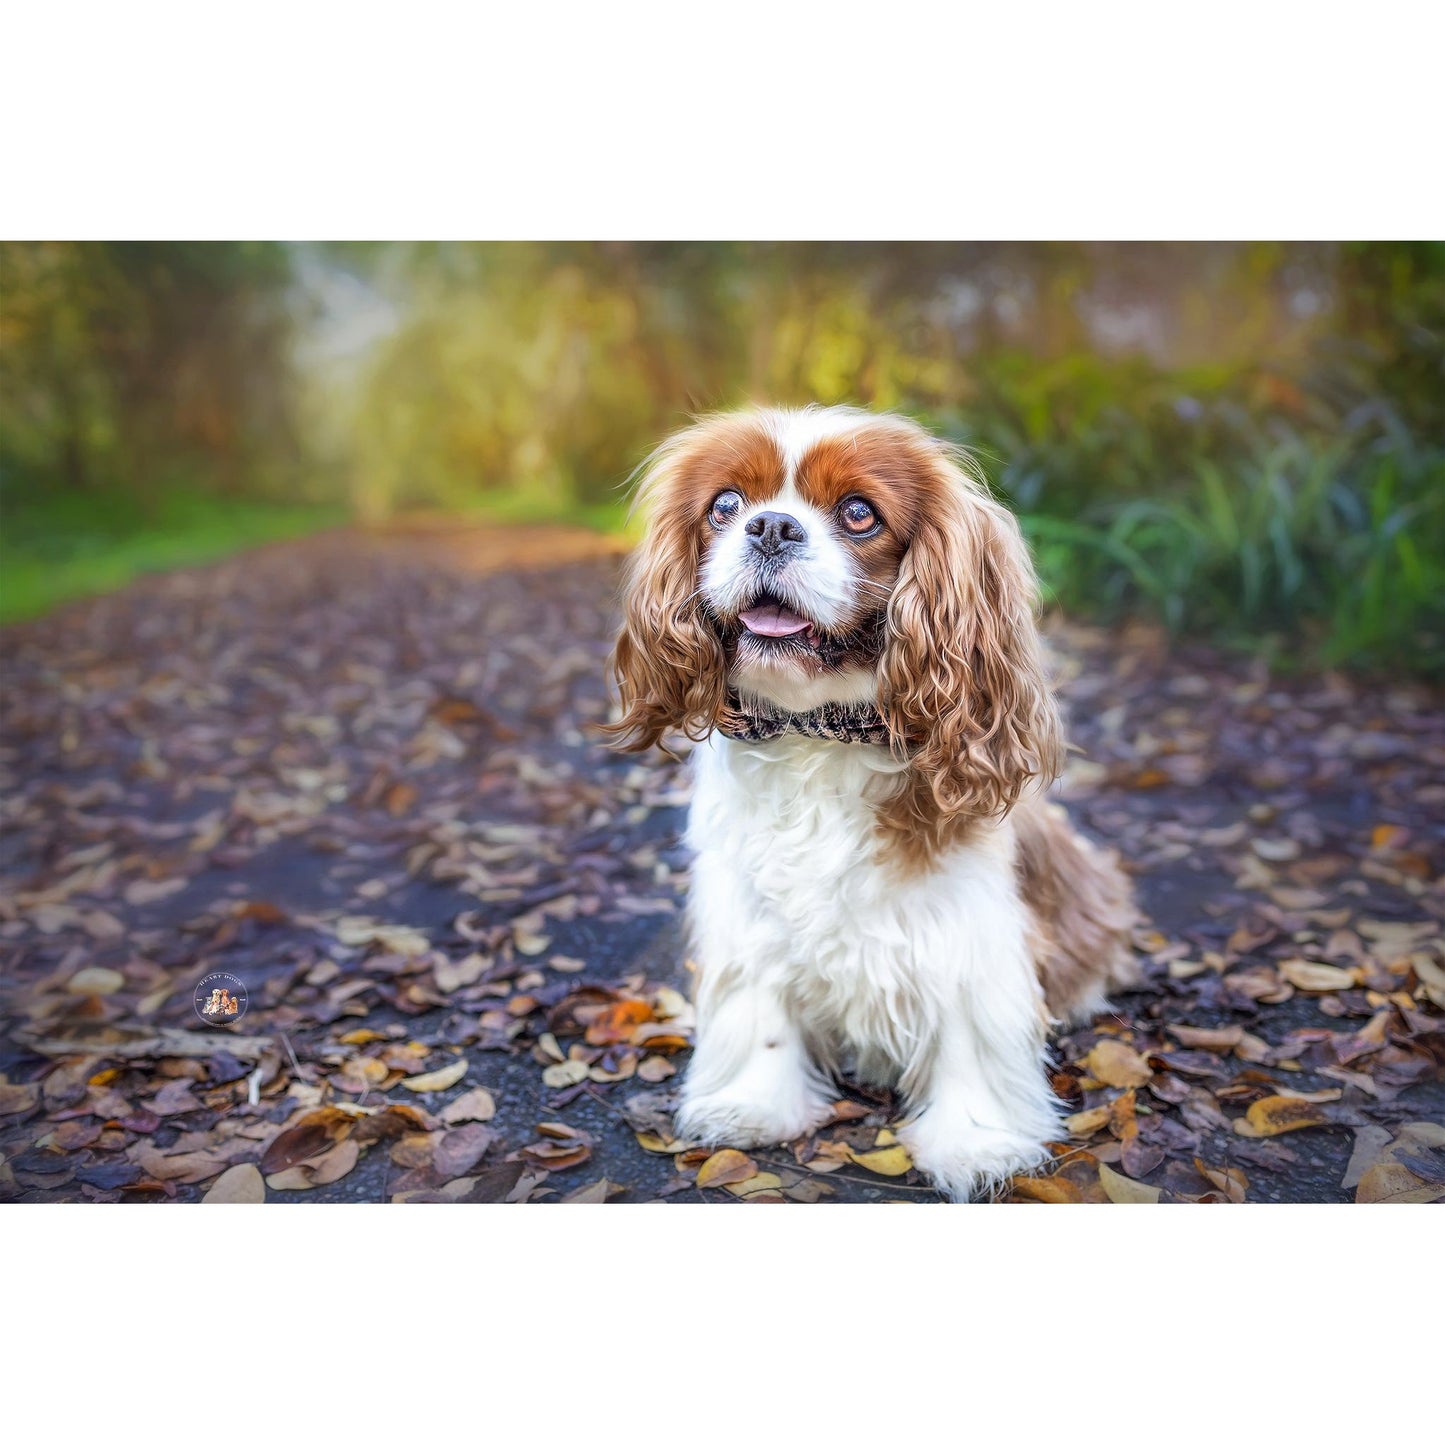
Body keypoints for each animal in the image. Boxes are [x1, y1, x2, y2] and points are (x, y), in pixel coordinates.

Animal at [604, 407, 1132, 1196]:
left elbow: (969, 1025)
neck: (819, 733)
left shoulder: (967, 925)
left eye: (858, 513)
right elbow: (761, 1005)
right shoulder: (749, 911)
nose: (770, 527)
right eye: (725, 505)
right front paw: (754, 1103)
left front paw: (975, 1143)